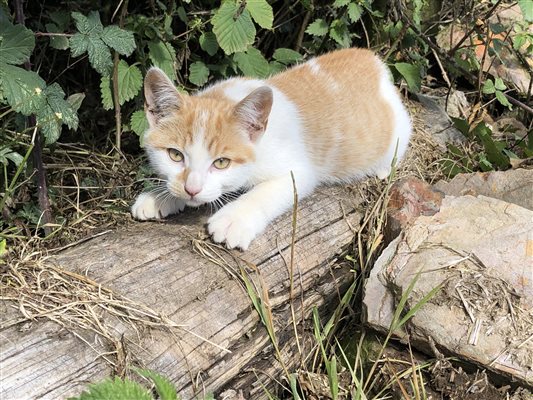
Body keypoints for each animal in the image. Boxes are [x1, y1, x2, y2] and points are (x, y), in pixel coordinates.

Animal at [130, 47, 412, 250]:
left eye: (221, 162)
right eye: (175, 155)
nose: (191, 189)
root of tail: (372, 59)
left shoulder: (300, 171)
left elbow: (265, 192)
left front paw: (234, 219)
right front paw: (159, 196)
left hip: (398, 129)